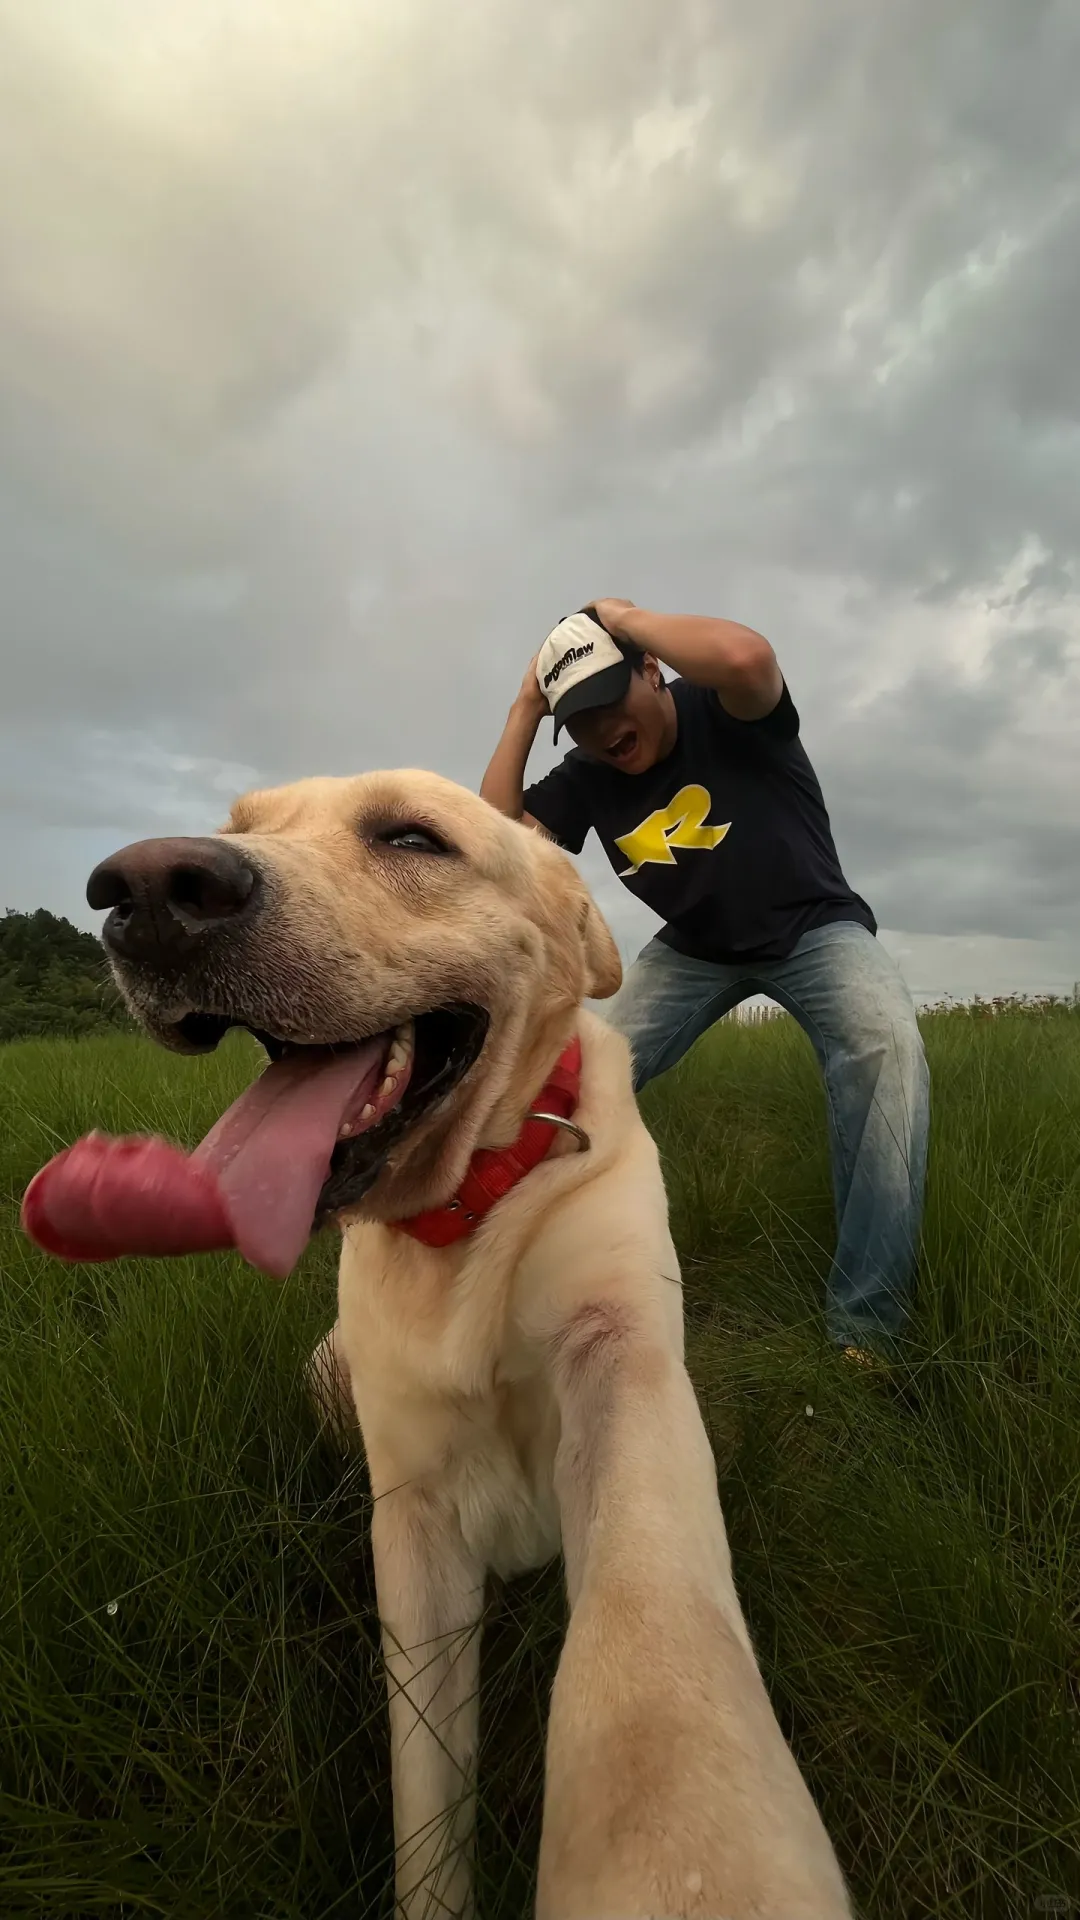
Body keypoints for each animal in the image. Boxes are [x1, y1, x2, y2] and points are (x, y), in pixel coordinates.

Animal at [48, 768, 849, 1920]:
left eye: (414, 839)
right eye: (241, 825)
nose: (147, 889)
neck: (466, 1207)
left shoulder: (621, 1356)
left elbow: (651, 1633)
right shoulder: (415, 1522)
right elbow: (426, 1785)